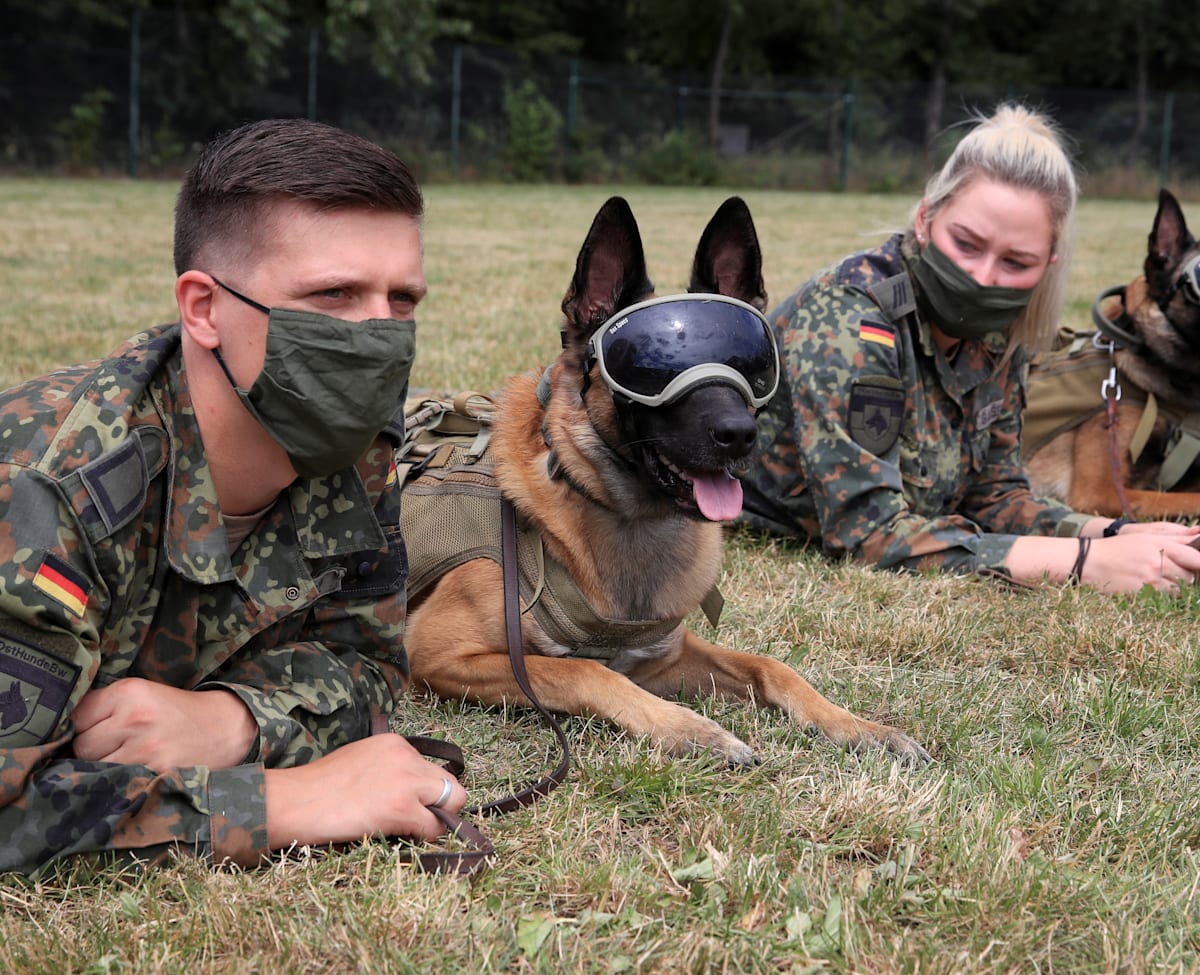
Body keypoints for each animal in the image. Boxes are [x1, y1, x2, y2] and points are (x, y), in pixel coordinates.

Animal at [403, 194, 926, 763]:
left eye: (752, 363)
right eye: (649, 369)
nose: (740, 435)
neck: (627, 518)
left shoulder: (663, 660)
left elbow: (771, 665)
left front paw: (856, 725)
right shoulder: (437, 656)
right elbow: (584, 670)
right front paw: (688, 729)